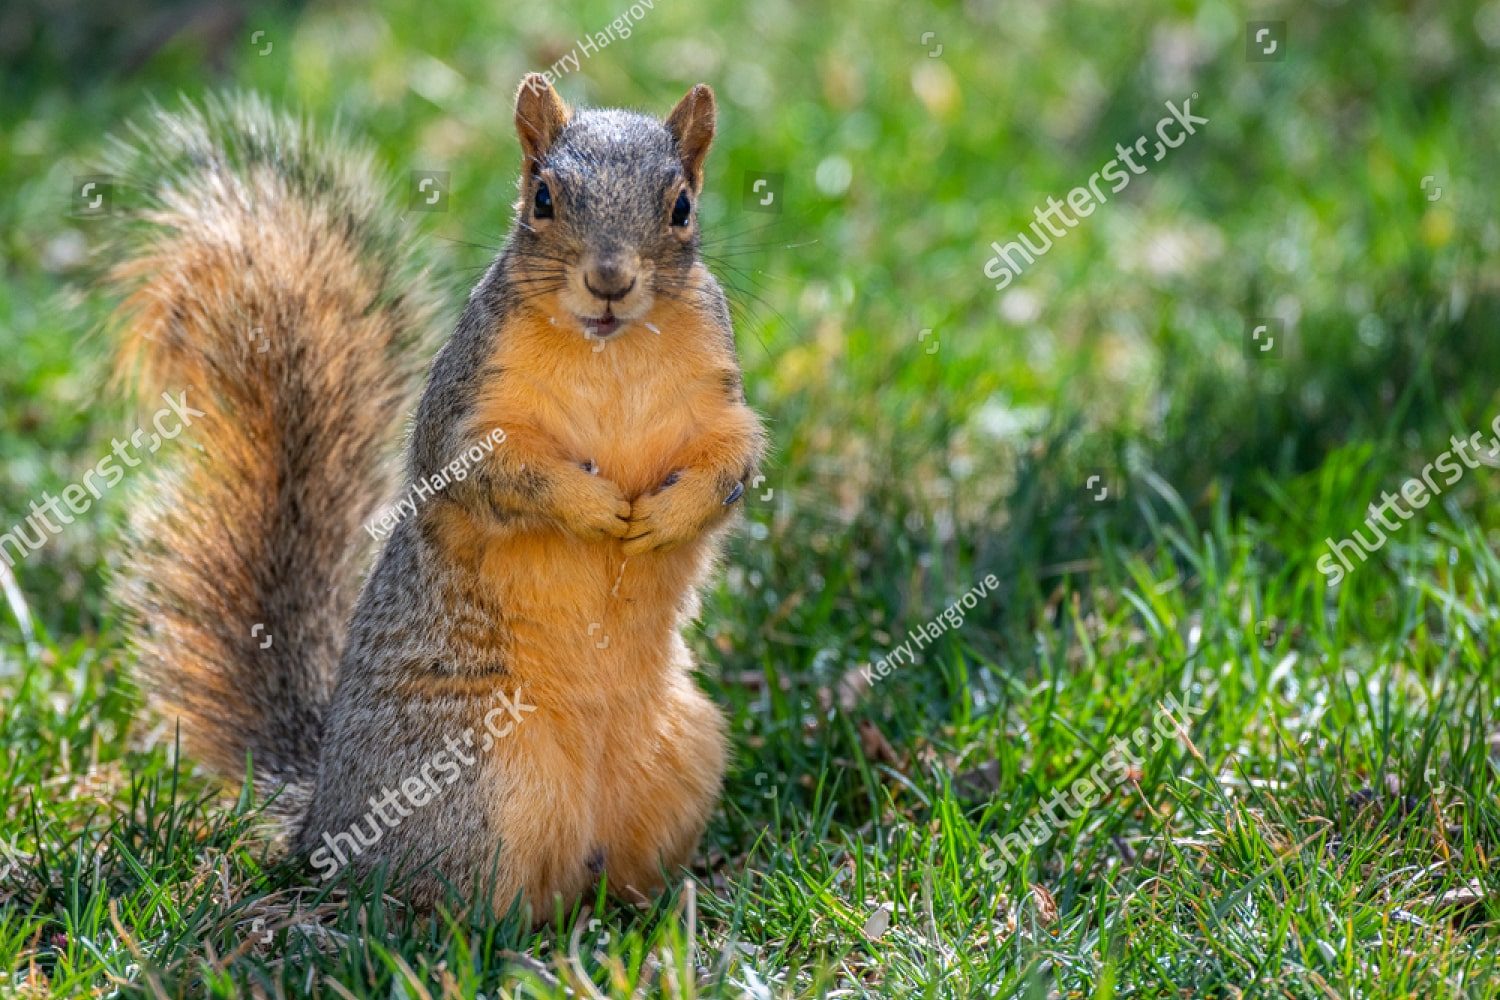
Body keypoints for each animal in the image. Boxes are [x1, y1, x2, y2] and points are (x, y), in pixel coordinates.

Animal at [103, 75, 766, 917]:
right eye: (542, 197)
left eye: (681, 207)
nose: (610, 281)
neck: (611, 350)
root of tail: (321, 820)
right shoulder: (467, 413)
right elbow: (502, 475)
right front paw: (592, 508)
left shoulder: (720, 399)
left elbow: (732, 463)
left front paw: (664, 516)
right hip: (475, 778)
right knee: (457, 896)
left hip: (687, 749)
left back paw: (670, 901)